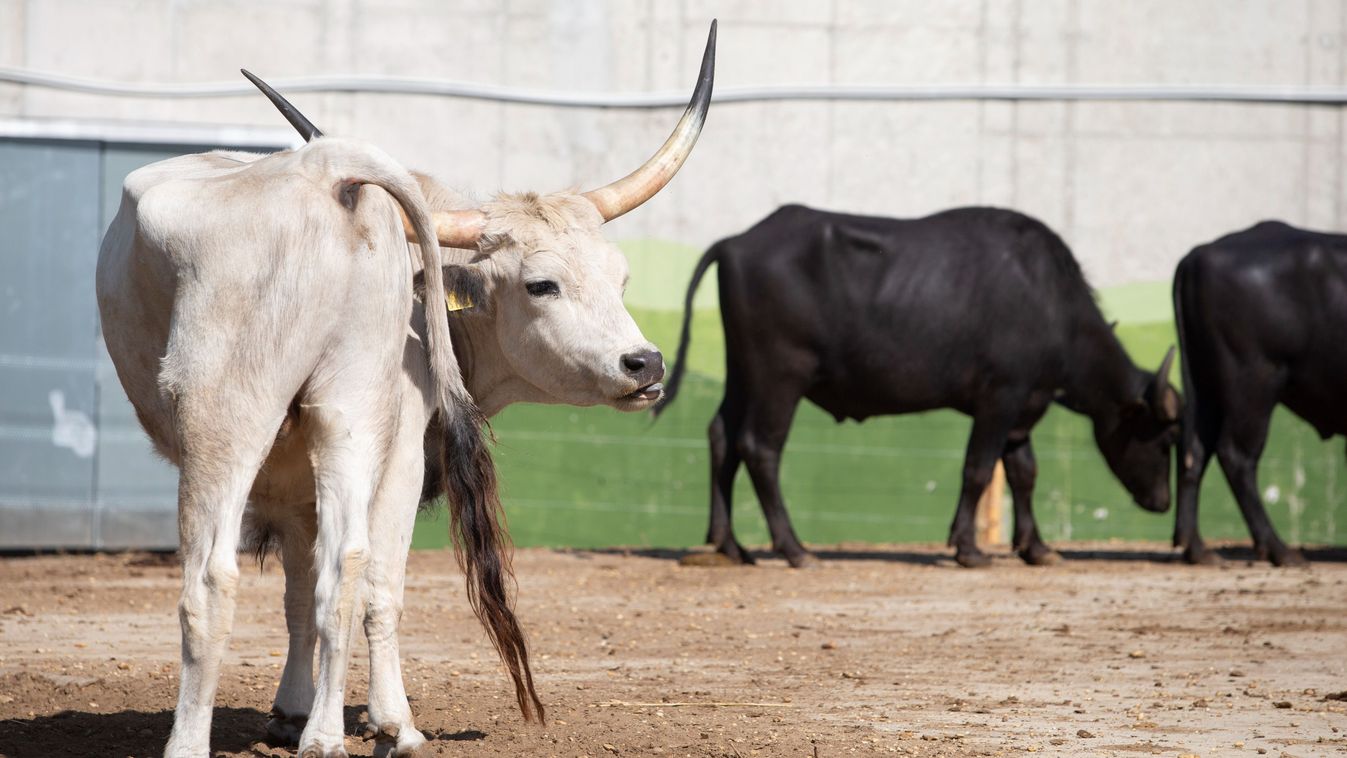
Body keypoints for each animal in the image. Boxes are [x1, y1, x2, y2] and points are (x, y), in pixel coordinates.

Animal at [657, 204, 1185, 565]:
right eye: (1163, 439)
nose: (1162, 502)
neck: (1050, 301)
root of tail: (737, 241)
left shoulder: (1023, 410)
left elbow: (1024, 474)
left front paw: (1036, 548)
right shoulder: (1000, 400)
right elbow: (978, 469)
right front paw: (968, 548)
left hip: (743, 372)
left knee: (722, 436)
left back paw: (728, 544)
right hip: (779, 377)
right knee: (760, 447)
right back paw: (794, 548)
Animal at [1169, 219, 1347, 562]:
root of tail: (1198, 255)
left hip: (1207, 387)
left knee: (1194, 449)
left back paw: (1197, 548)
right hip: (1254, 383)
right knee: (1236, 455)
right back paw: (1278, 549)